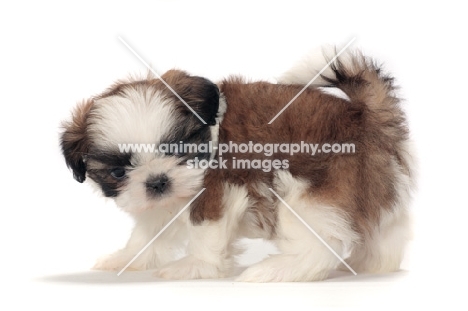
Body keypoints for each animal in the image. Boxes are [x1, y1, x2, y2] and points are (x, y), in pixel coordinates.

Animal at [60, 48, 414, 282]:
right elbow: (149, 233)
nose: (158, 181)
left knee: (323, 243)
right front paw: (126, 258)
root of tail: (365, 116)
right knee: (386, 231)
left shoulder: (215, 190)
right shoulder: (159, 204)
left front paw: (196, 266)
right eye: (118, 171)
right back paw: (373, 265)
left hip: (307, 193)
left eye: (178, 148)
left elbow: (205, 231)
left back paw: (277, 270)